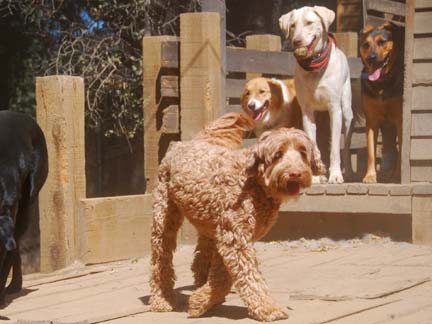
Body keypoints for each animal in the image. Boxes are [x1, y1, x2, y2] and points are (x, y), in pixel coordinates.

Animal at [148, 112, 324, 320]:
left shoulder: (230, 235)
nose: (295, 173)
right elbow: (244, 276)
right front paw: (268, 308)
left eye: (303, 152)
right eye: (277, 154)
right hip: (165, 217)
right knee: (161, 259)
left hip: (207, 222)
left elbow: (222, 275)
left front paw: (201, 300)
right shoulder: (235, 237)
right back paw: (162, 299)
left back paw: (201, 283)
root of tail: (185, 143)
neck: (255, 184)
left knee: (201, 256)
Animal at [278, 5, 352, 182]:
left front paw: (335, 175)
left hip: (346, 112)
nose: (297, 41)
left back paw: (347, 172)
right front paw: (317, 176)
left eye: (309, 23)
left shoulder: (335, 109)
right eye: (292, 26)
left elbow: (335, 148)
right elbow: (312, 142)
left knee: (345, 145)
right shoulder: (307, 111)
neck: (315, 67)